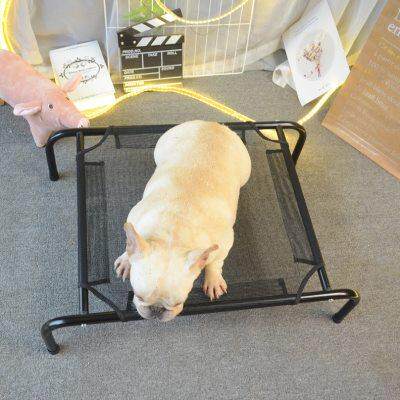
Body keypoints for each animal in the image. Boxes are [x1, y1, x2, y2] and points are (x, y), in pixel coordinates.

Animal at [114, 120, 251, 321]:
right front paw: (126, 260)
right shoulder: (135, 217)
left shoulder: (225, 243)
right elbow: (130, 242)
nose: (156, 310)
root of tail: (212, 124)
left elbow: (215, 262)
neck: (174, 231)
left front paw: (213, 279)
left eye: (179, 302)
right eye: (138, 296)